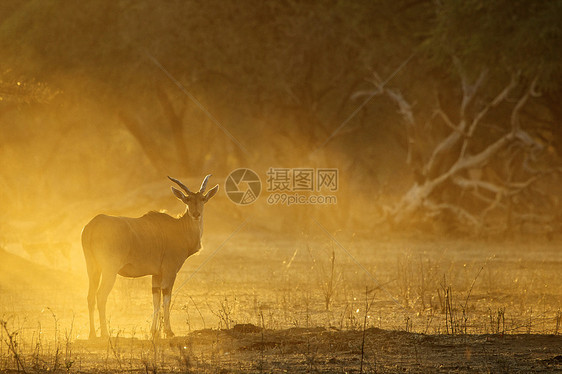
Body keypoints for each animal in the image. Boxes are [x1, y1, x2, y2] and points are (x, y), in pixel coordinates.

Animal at [82, 175, 218, 338]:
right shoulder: (170, 271)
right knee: (101, 296)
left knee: (90, 297)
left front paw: (154, 332)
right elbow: (166, 297)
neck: (179, 228)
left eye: (203, 198)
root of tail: (93, 225)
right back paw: (104, 334)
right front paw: (168, 331)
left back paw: (92, 334)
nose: (196, 214)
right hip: (110, 270)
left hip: (93, 269)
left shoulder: (156, 274)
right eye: (187, 199)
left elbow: (156, 299)